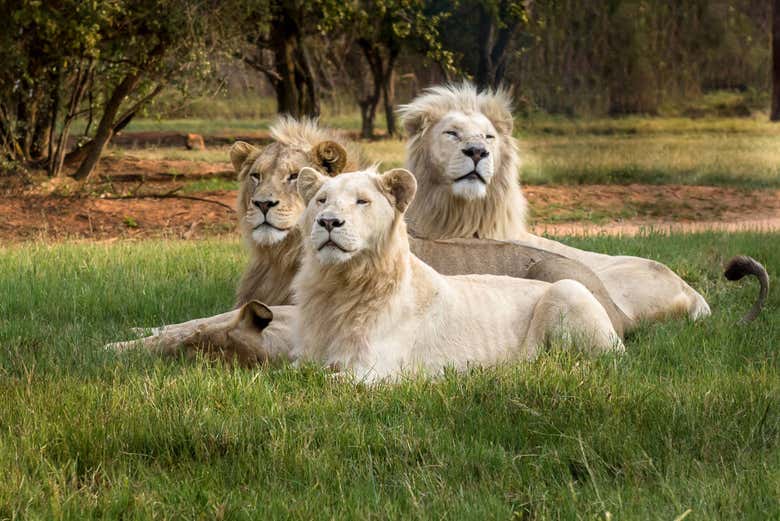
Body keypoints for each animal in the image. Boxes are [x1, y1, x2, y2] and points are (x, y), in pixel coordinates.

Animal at [290, 167, 624, 382]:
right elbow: (291, 374)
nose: (328, 221)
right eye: (321, 200)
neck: (338, 282)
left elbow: (318, 383)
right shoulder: (305, 357)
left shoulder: (373, 372)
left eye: (362, 201)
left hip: (567, 288)